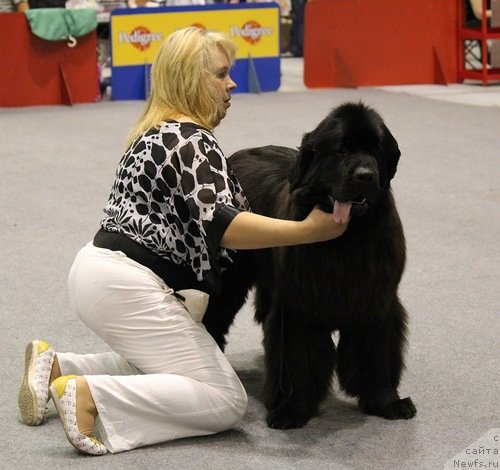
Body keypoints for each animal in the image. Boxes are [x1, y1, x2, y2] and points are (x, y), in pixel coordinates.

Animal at [201, 102, 416, 430]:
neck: (349, 238)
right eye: (342, 151)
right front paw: (292, 410)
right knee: (215, 317)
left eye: (376, 150)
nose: (365, 175)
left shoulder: (378, 302)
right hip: (231, 279)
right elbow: (299, 361)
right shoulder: (298, 308)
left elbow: (377, 356)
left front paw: (387, 402)